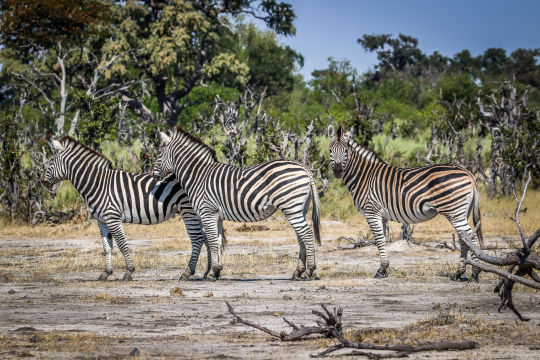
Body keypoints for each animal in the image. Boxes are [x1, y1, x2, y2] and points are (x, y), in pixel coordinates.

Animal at [40, 136, 212, 280]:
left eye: (51, 160)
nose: (42, 181)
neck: (97, 183)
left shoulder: (113, 217)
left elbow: (122, 244)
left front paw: (129, 271)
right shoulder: (102, 220)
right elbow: (107, 247)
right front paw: (106, 273)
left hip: (188, 210)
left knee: (198, 239)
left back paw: (188, 272)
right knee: (206, 237)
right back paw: (208, 272)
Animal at [152, 127, 320, 282]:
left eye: (159, 153)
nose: (153, 175)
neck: (198, 176)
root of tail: (303, 167)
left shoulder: (207, 212)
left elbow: (212, 241)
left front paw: (211, 273)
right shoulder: (217, 215)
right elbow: (218, 241)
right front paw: (216, 271)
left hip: (291, 207)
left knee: (307, 234)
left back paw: (310, 271)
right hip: (300, 208)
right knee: (301, 236)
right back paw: (298, 272)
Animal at [326, 126, 484, 282]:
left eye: (346, 151)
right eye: (330, 150)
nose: (338, 171)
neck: (365, 176)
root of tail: (467, 172)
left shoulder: (371, 211)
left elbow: (378, 239)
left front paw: (381, 270)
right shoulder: (381, 215)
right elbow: (383, 239)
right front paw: (384, 269)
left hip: (454, 211)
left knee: (471, 237)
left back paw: (475, 273)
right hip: (461, 212)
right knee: (464, 239)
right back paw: (459, 273)